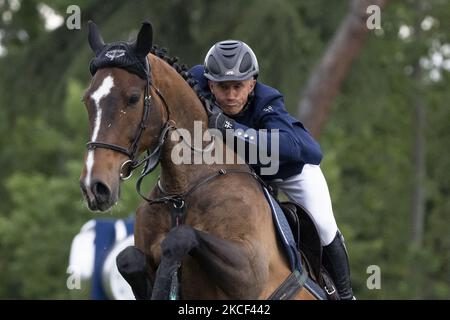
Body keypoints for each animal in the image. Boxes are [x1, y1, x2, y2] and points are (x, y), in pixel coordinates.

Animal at [80, 21, 320, 300]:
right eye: (87, 100)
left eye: (132, 98)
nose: (94, 186)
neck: (181, 193)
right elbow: (128, 258)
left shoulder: (250, 271)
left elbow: (179, 237)